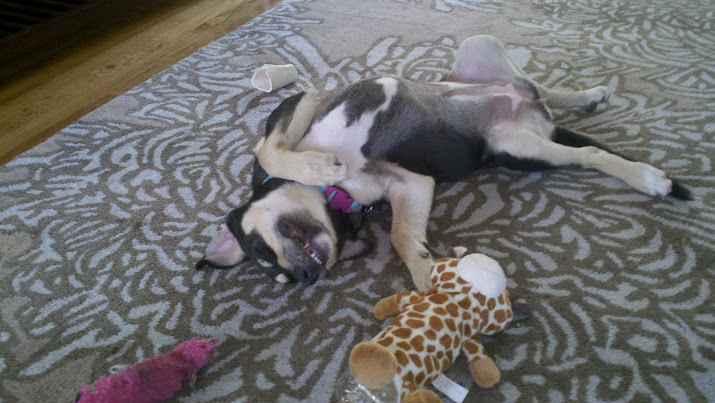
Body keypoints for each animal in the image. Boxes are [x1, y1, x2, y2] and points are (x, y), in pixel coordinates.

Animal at [194, 35, 692, 291]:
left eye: (260, 251)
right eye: (281, 279)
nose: (304, 275)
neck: (339, 199)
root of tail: (529, 112)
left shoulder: (302, 102)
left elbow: (269, 150)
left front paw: (318, 165)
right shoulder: (409, 183)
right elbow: (401, 235)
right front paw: (426, 277)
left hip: (480, 49)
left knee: (556, 108)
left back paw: (632, 155)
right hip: (516, 145)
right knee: (557, 118)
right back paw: (590, 105)